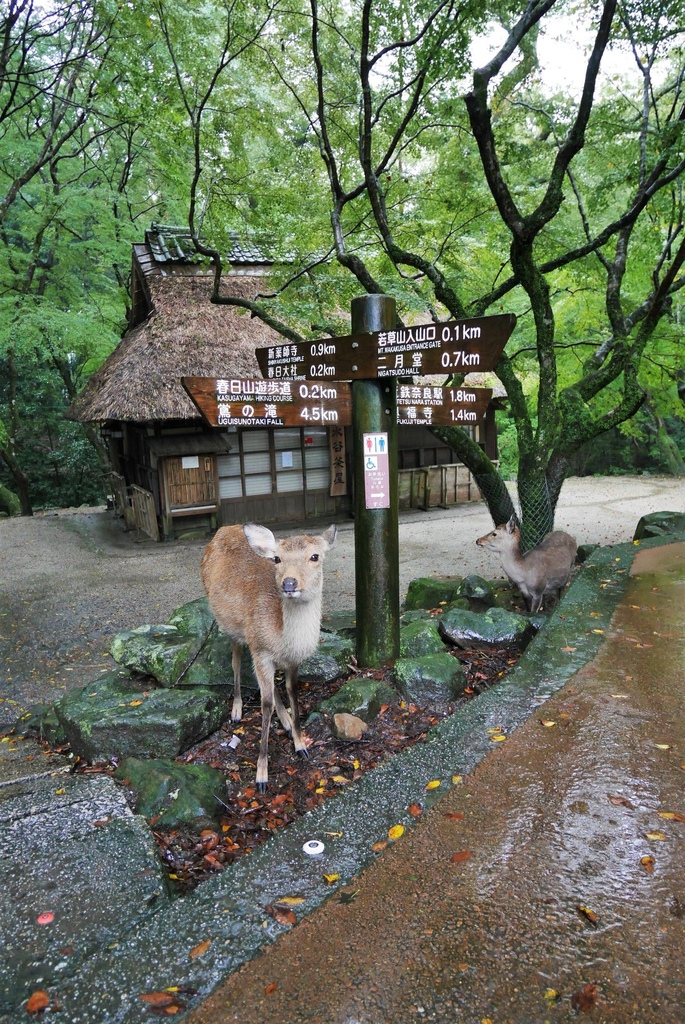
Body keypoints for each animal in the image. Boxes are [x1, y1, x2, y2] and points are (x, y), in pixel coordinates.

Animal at [200, 520, 335, 790]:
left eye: (315, 556)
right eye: (277, 558)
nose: (289, 584)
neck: (282, 639)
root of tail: (223, 529)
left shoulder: (292, 661)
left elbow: (291, 691)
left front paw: (300, 744)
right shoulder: (259, 649)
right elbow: (265, 704)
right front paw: (261, 775)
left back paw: (284, 720)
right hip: (231, 627)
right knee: (236, 662)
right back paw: (237, 710)